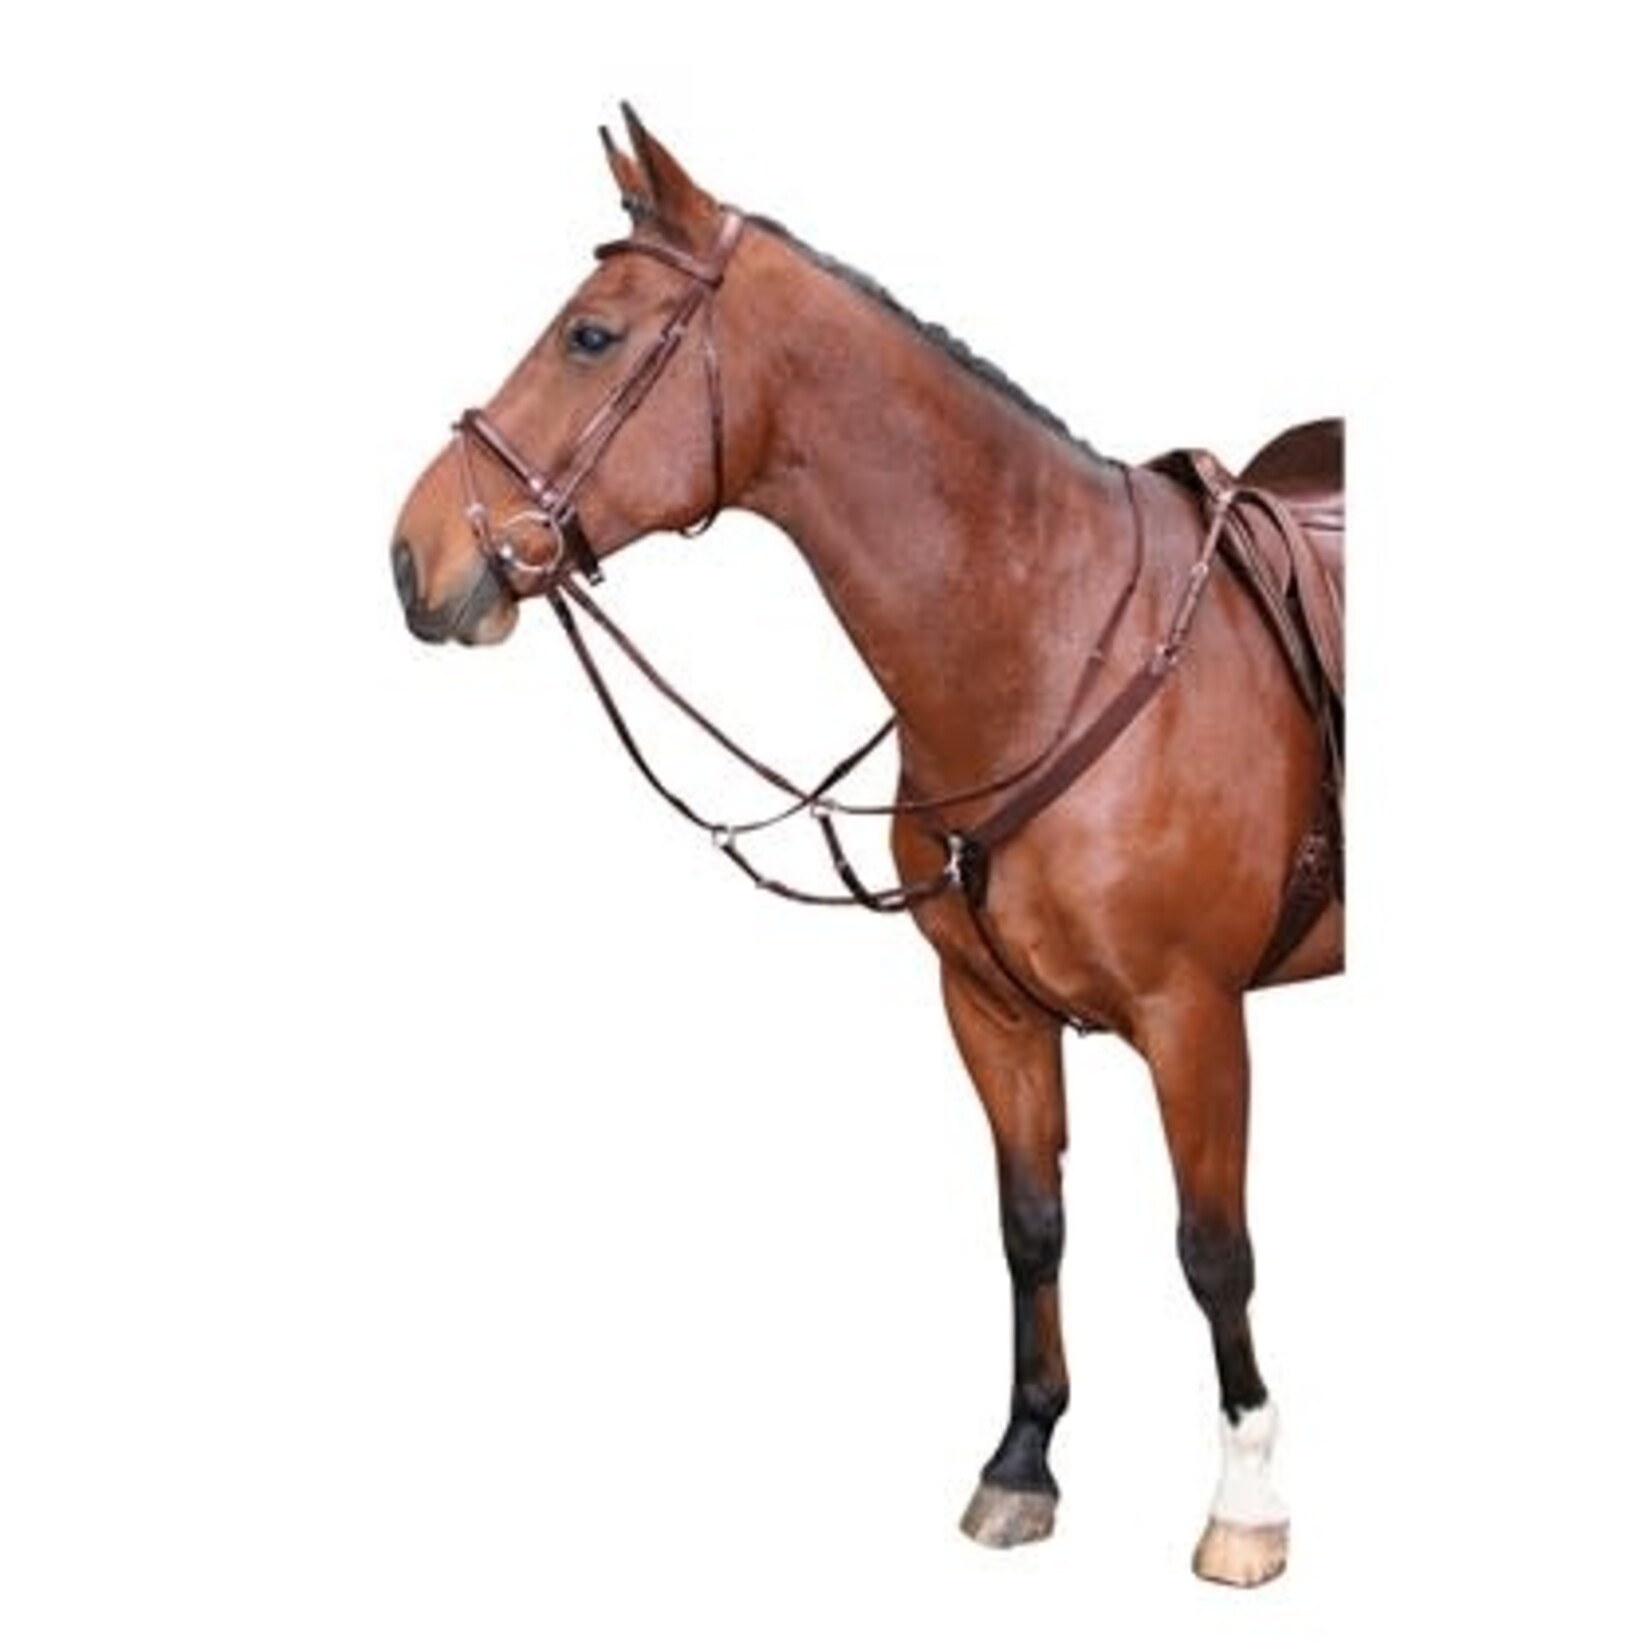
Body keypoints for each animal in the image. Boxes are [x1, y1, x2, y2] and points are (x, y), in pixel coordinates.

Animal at [390, 105, 1344, 1588]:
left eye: (591, 335)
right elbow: (1030, 1226)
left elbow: (1212, 1247)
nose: (413, 557)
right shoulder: (988, 1010)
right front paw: (1021, 1461)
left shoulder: (1194, 1016)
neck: (1055, 638)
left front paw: (1245, 1505)